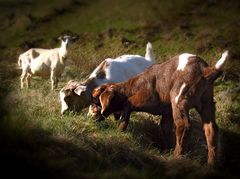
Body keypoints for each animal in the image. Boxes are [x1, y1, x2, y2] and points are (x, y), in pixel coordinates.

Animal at [91, 50, 229, 165]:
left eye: (96, 101)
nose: (91, 117)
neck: (130, 88)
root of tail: (206, 70)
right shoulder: (167, 112)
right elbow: (165, 128)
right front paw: (166, 149)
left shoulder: (135, 102)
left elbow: (125, 114)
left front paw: (118, 132)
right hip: (207, 103)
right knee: (211, 128)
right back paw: (211, 164)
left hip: (179, 100)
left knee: (183, 125)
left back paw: (177, 156)